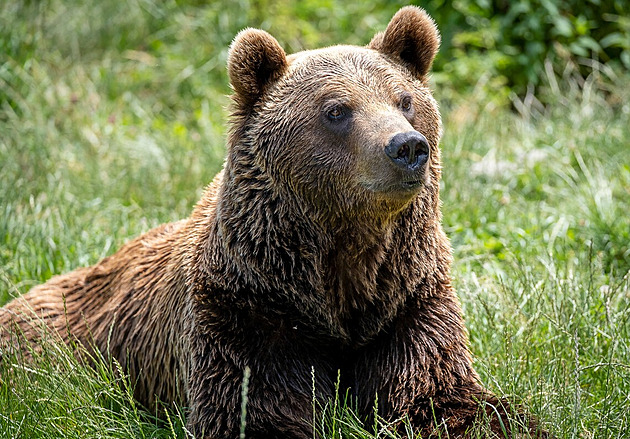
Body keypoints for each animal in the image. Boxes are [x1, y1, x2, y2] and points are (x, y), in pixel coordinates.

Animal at [0, 6, 544, 439]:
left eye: (404, 100)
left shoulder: (406, 302)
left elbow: (442, 396)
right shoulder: (248, 313)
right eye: (337, 110)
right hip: (54, 342)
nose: (407, 147)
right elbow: (257, 410)